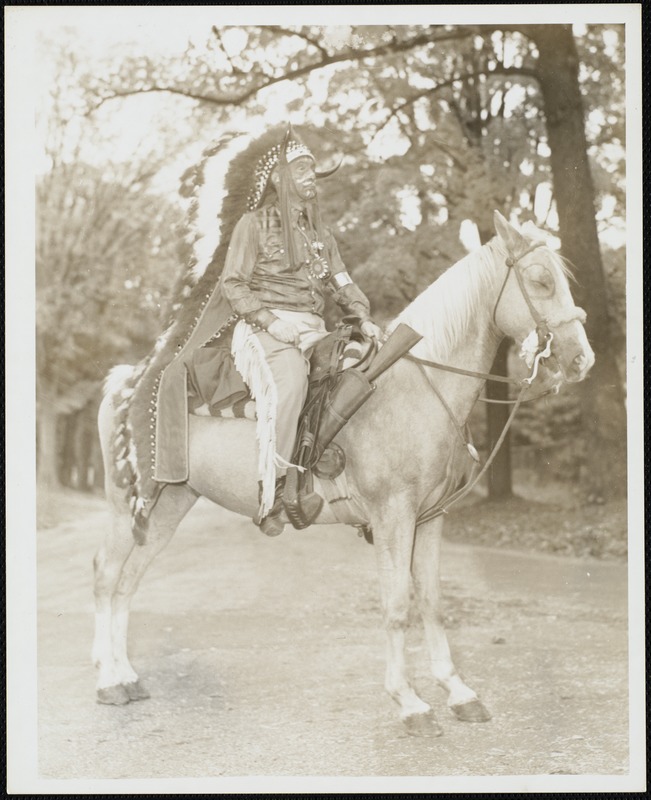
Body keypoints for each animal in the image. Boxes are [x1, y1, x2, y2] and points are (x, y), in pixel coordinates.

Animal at [93, 212, 596, 736]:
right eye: (540, 281)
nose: (582, 359)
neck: (416, 388)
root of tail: (129, 380)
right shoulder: (393, 516)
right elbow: (396, 606)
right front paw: (409, 702)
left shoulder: (430, 518)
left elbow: (432, 601)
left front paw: (458, 691)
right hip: (128, 502)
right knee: (107, 576)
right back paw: (110, 682)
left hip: (170, 503)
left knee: (129, 580)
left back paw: (128, 675)